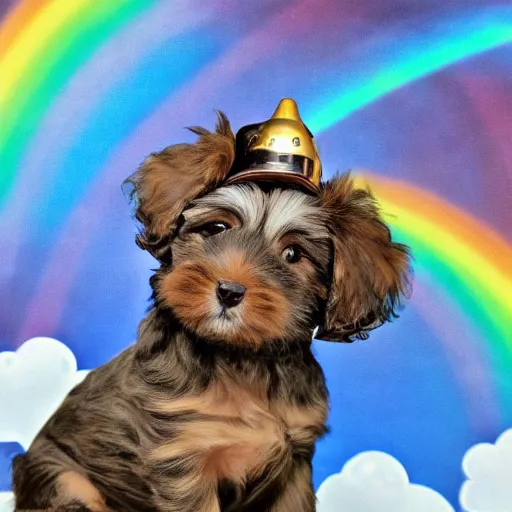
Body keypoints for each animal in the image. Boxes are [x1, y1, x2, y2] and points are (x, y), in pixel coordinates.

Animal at [12, 113, 412, 512]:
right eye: (217, 227)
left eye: (293, 254)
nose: (229, 291)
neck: (241, 360)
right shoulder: (184, 459)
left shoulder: (294, 463)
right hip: (68, 482)